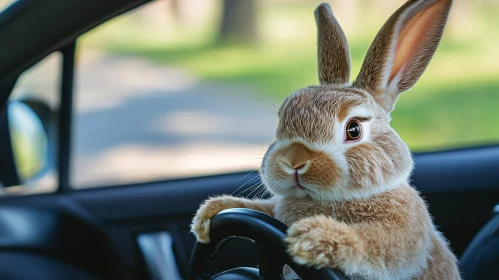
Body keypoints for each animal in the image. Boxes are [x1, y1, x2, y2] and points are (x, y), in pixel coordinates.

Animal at [190, 0, 460, 278]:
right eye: (281, 122)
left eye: (354, 130)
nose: (294, 162)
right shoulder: (274, 212)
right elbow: (262, 209)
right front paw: (209, 213)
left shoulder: (402, 230)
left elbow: (373, 242)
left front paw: (313, 237)